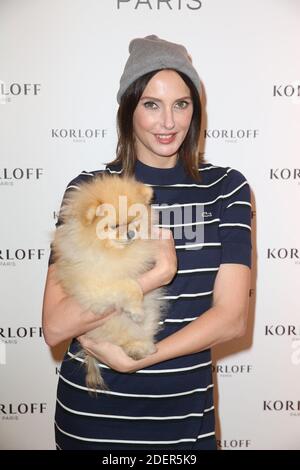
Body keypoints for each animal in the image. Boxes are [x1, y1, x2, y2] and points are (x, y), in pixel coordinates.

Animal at [51, 172, 169, 390]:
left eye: (134, 220)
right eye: (114, 226)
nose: (131, 233)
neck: (109, 250)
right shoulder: (95, 285)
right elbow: (130, 286)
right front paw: (136, 310)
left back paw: (142, 347)